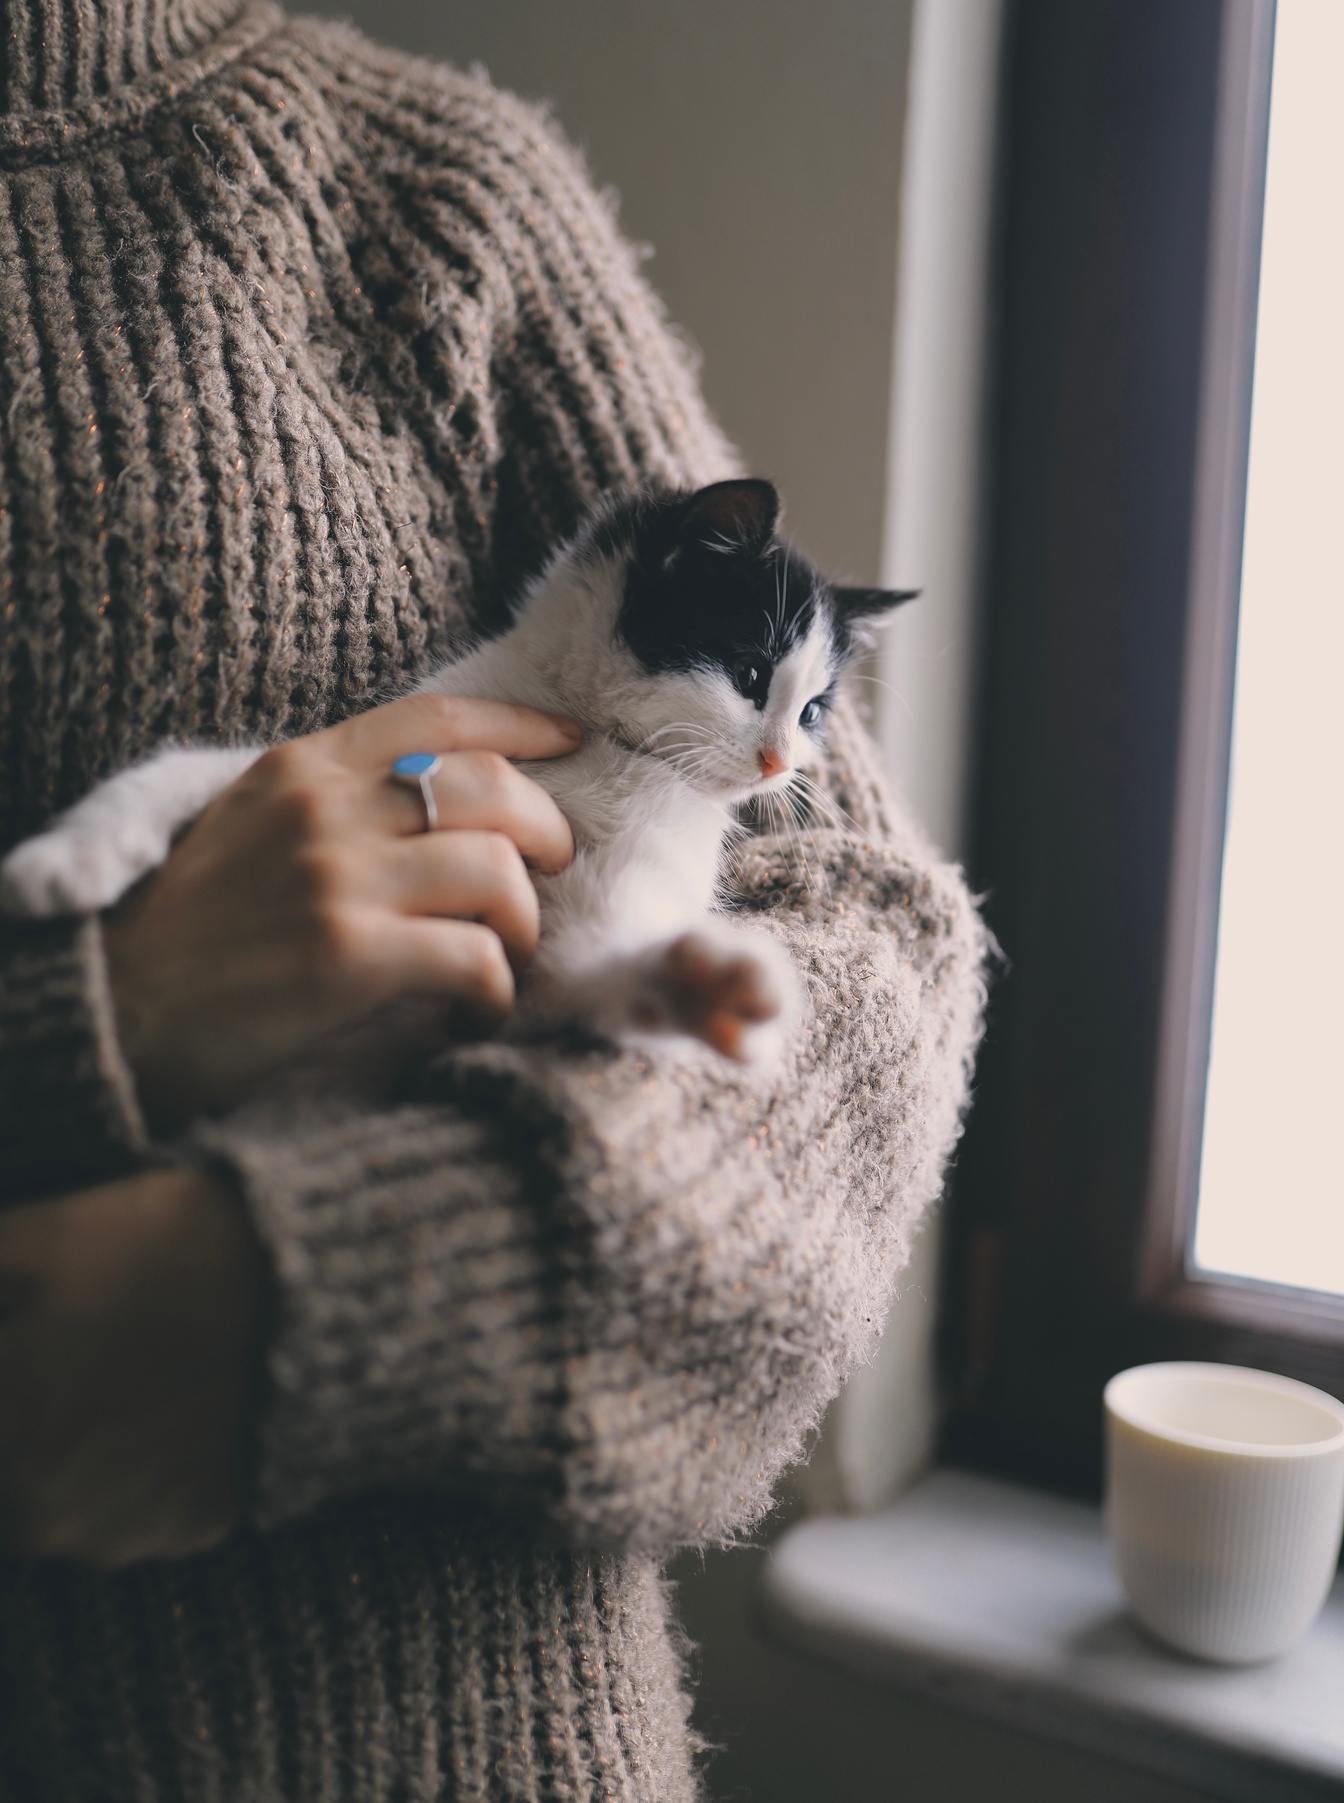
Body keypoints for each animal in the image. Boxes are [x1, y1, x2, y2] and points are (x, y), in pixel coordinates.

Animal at [0, 486, 912, 1060]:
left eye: (813, 711)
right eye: (751, 673)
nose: (779, 760)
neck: (611, 747)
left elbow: (584, 966)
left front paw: (704, 985)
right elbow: (197, 768)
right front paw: (64, 860)